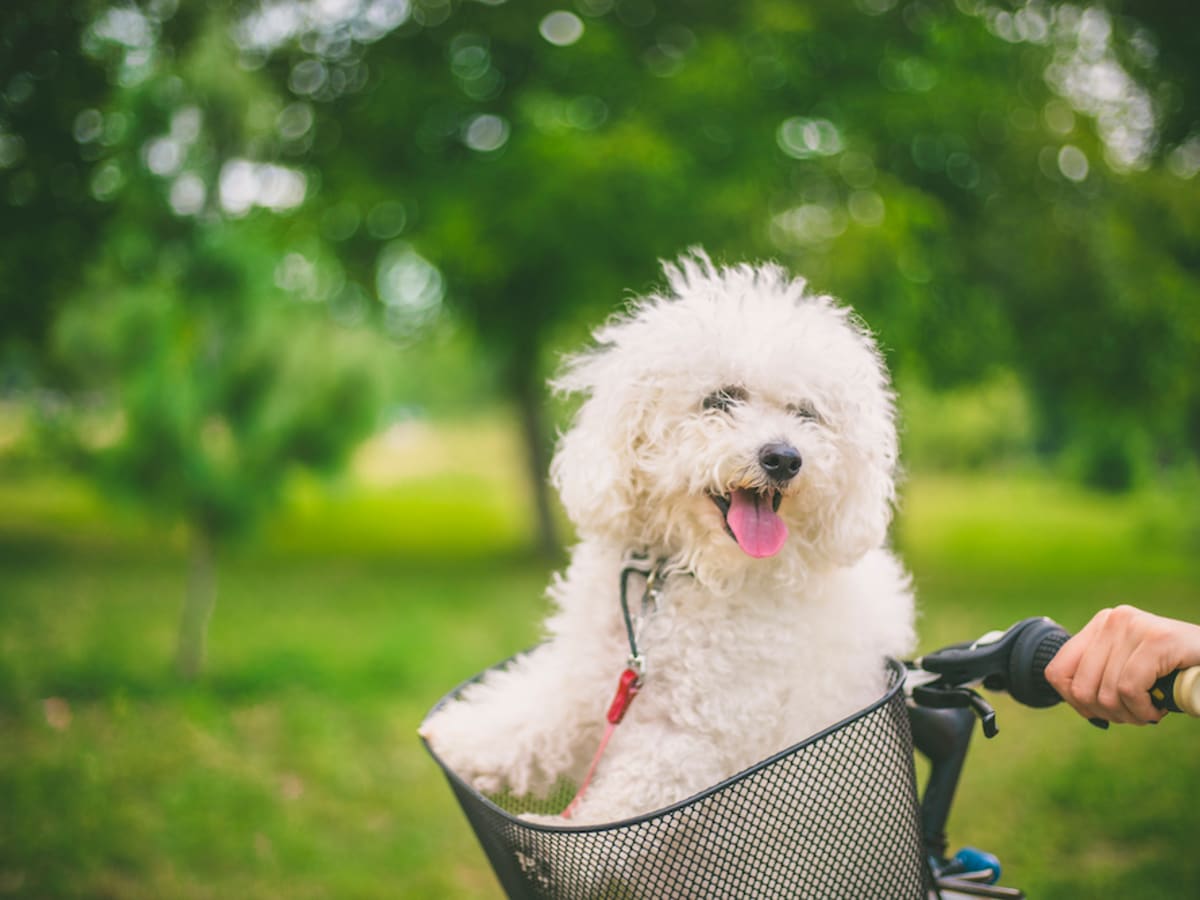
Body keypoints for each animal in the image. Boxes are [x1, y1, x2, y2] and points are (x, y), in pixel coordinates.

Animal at [417, 250, 912, 830]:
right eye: (720, 400)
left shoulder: (687, 738)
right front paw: (460, 736)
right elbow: (532, 715)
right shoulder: (589, 678)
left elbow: (616, 814)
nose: (785, 458)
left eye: (806, 413)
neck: (677, 579)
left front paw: (558, 836)